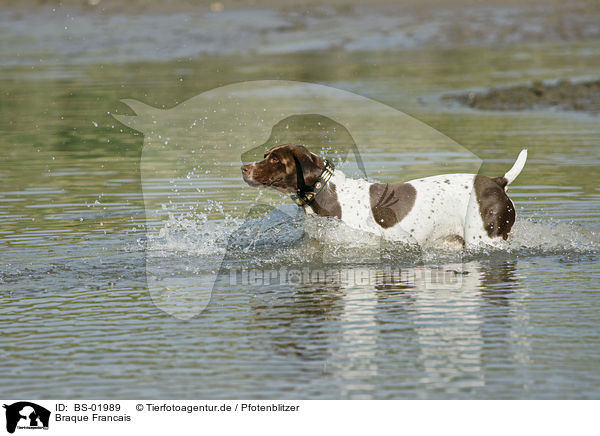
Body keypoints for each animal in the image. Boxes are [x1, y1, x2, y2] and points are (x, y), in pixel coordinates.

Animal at [241, 145, 528, 249]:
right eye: (266, 155)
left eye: (275, 160)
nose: (243, 167)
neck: (328, 194)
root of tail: (498, 182)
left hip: (484, 239)